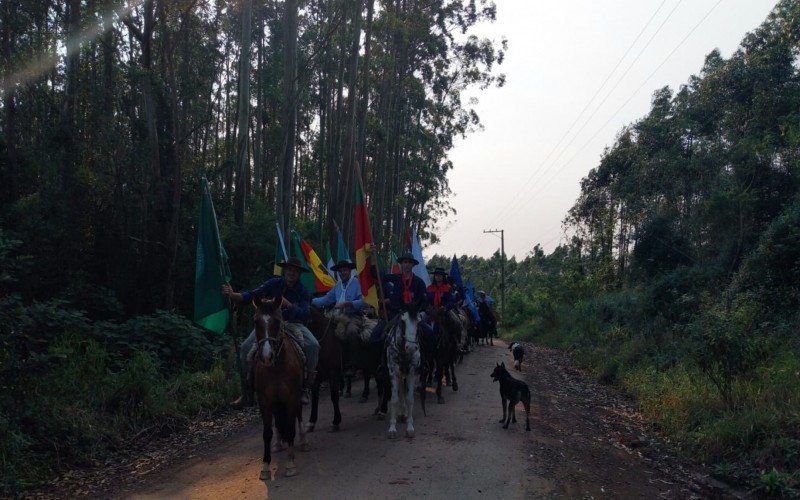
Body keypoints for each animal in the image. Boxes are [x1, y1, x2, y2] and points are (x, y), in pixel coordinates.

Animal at [253, 292, 310, 480]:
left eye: (277, 321)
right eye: (256, 322)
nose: (266, 356)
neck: (276, 367)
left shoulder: (292, 397)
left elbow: (291, 428)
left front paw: (290, 464)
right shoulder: (264, 401)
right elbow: (266, 433)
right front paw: (265, 467)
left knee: (298, 416)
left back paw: (303, 441)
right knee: (277, 421)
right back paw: (278, 444)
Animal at [384, 302, 422, 440]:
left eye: (419, 322)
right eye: (403, 322)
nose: (411, 347)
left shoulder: (411, 372)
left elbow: (410, 398)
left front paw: (410, 428)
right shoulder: (393, 373)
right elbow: (394, 398)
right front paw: (392, 428)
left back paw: (404, 414)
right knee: (400, 390)